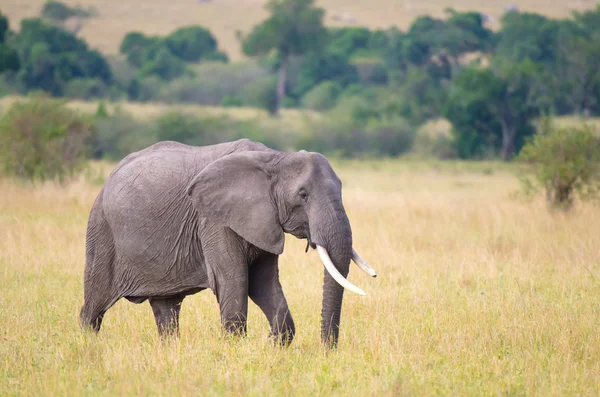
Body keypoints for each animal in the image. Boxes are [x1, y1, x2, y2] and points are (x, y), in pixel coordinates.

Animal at [79, 138, 376, 346]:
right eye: (303, 195)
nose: (327, 350)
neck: (274, 159)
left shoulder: (264, 221)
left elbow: (263, 284)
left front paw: (274, 345)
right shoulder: (213, 220)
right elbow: (235, 280)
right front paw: (237, 350)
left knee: (166, 309)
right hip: (101, 230)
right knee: (94, 306)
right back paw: (87, 346)